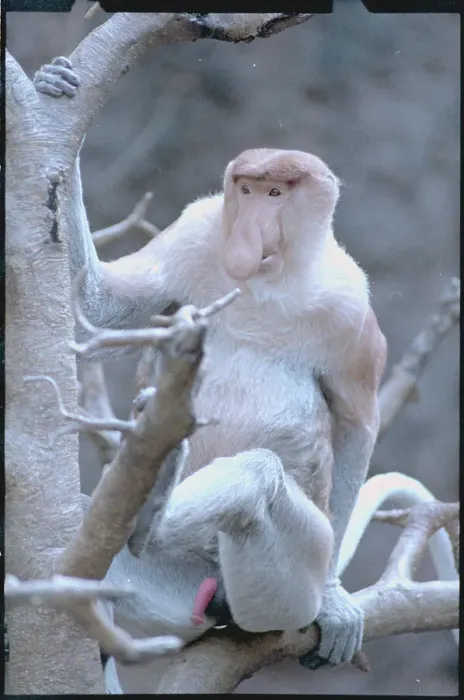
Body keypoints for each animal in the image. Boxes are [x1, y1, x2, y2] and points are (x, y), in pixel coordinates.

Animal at [35, 60, 386, 691]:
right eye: (244, 190)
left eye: (275, 193)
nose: (247, 236)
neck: (268, 285)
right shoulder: (199, 231)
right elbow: (97, 308)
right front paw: (55, 82)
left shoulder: (351, 306)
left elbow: (356, 423)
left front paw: (335, 601)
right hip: (166, 586)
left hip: (282, 586)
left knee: (261, 477)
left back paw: (156, 515)